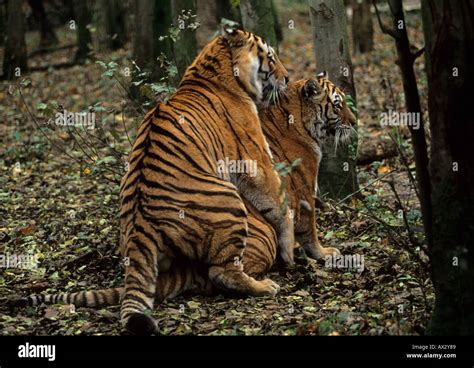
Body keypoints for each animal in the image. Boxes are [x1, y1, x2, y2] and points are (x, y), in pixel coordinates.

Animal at [11, 74, 358, 334]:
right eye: (338, 104)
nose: (355, 122)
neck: (296, 117)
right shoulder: (304, 192)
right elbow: (309, 229)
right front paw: (324, 254)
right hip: (254, 234)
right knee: (221, 276)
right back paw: (265, 283)